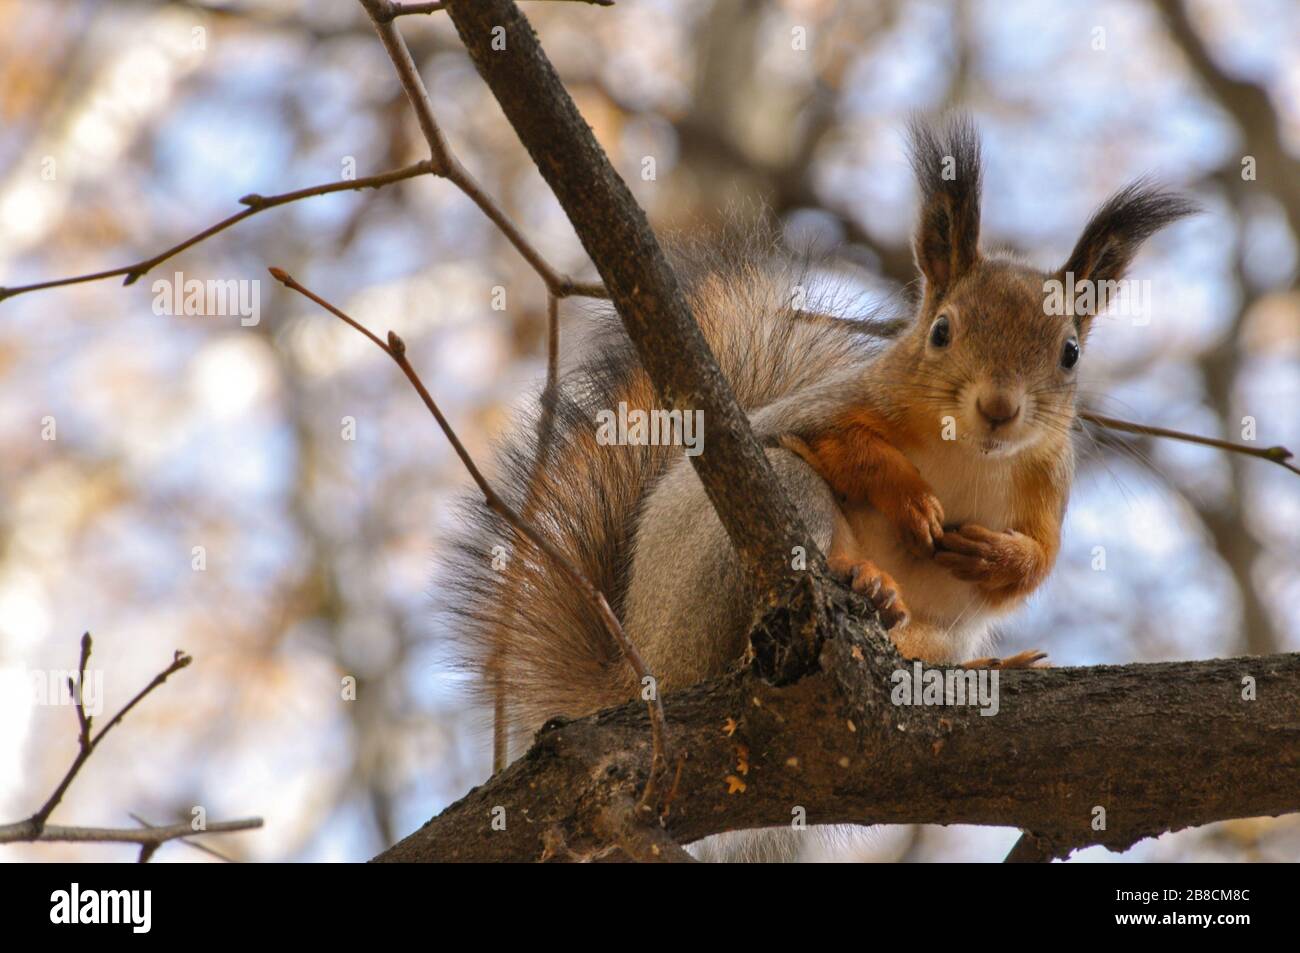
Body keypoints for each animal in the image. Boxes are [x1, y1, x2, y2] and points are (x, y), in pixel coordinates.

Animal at [441, 117, 1190, 774]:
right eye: (941, 331)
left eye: (1069, 353)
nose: (1000, 409)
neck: (970, 453)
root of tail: (645, 664)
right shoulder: (824, 410)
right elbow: (835, 444)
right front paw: (909, 497)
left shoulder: (1045, 482)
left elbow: (1039, 560)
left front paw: (994, 554)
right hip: (739, 548)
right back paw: (863, 579)